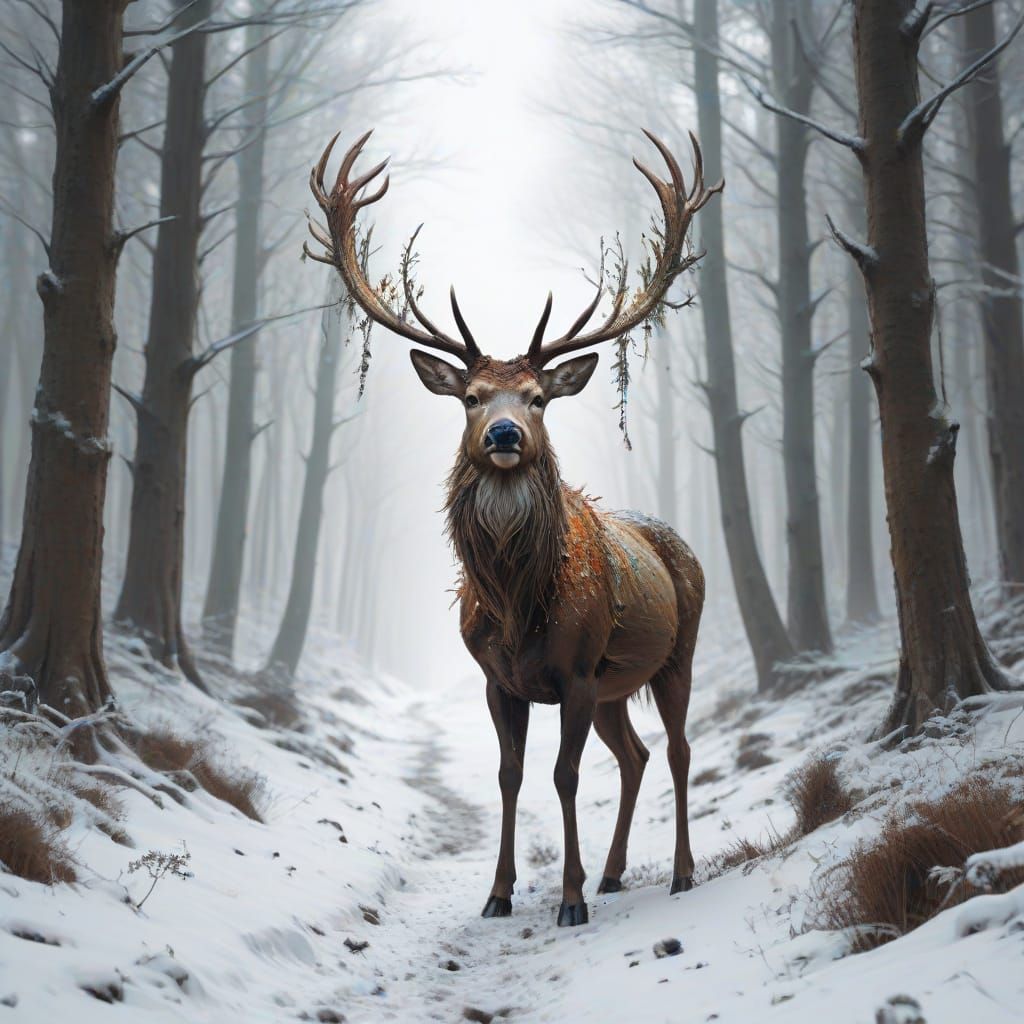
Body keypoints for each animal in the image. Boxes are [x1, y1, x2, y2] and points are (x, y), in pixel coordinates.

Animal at [305, 129, 721, 927]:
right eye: (470, 396)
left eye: (537, 397)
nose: (502, 434)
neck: (517, 602)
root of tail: (685, 549)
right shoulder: (499, 680)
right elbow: (509, 774)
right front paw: (499, 893)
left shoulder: (579, 671)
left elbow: (563, 776)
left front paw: (569, 898)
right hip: (621, 685)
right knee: (635, 756)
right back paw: (616, 873)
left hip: (676, 651)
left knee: (679, 750)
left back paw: (682, 873)